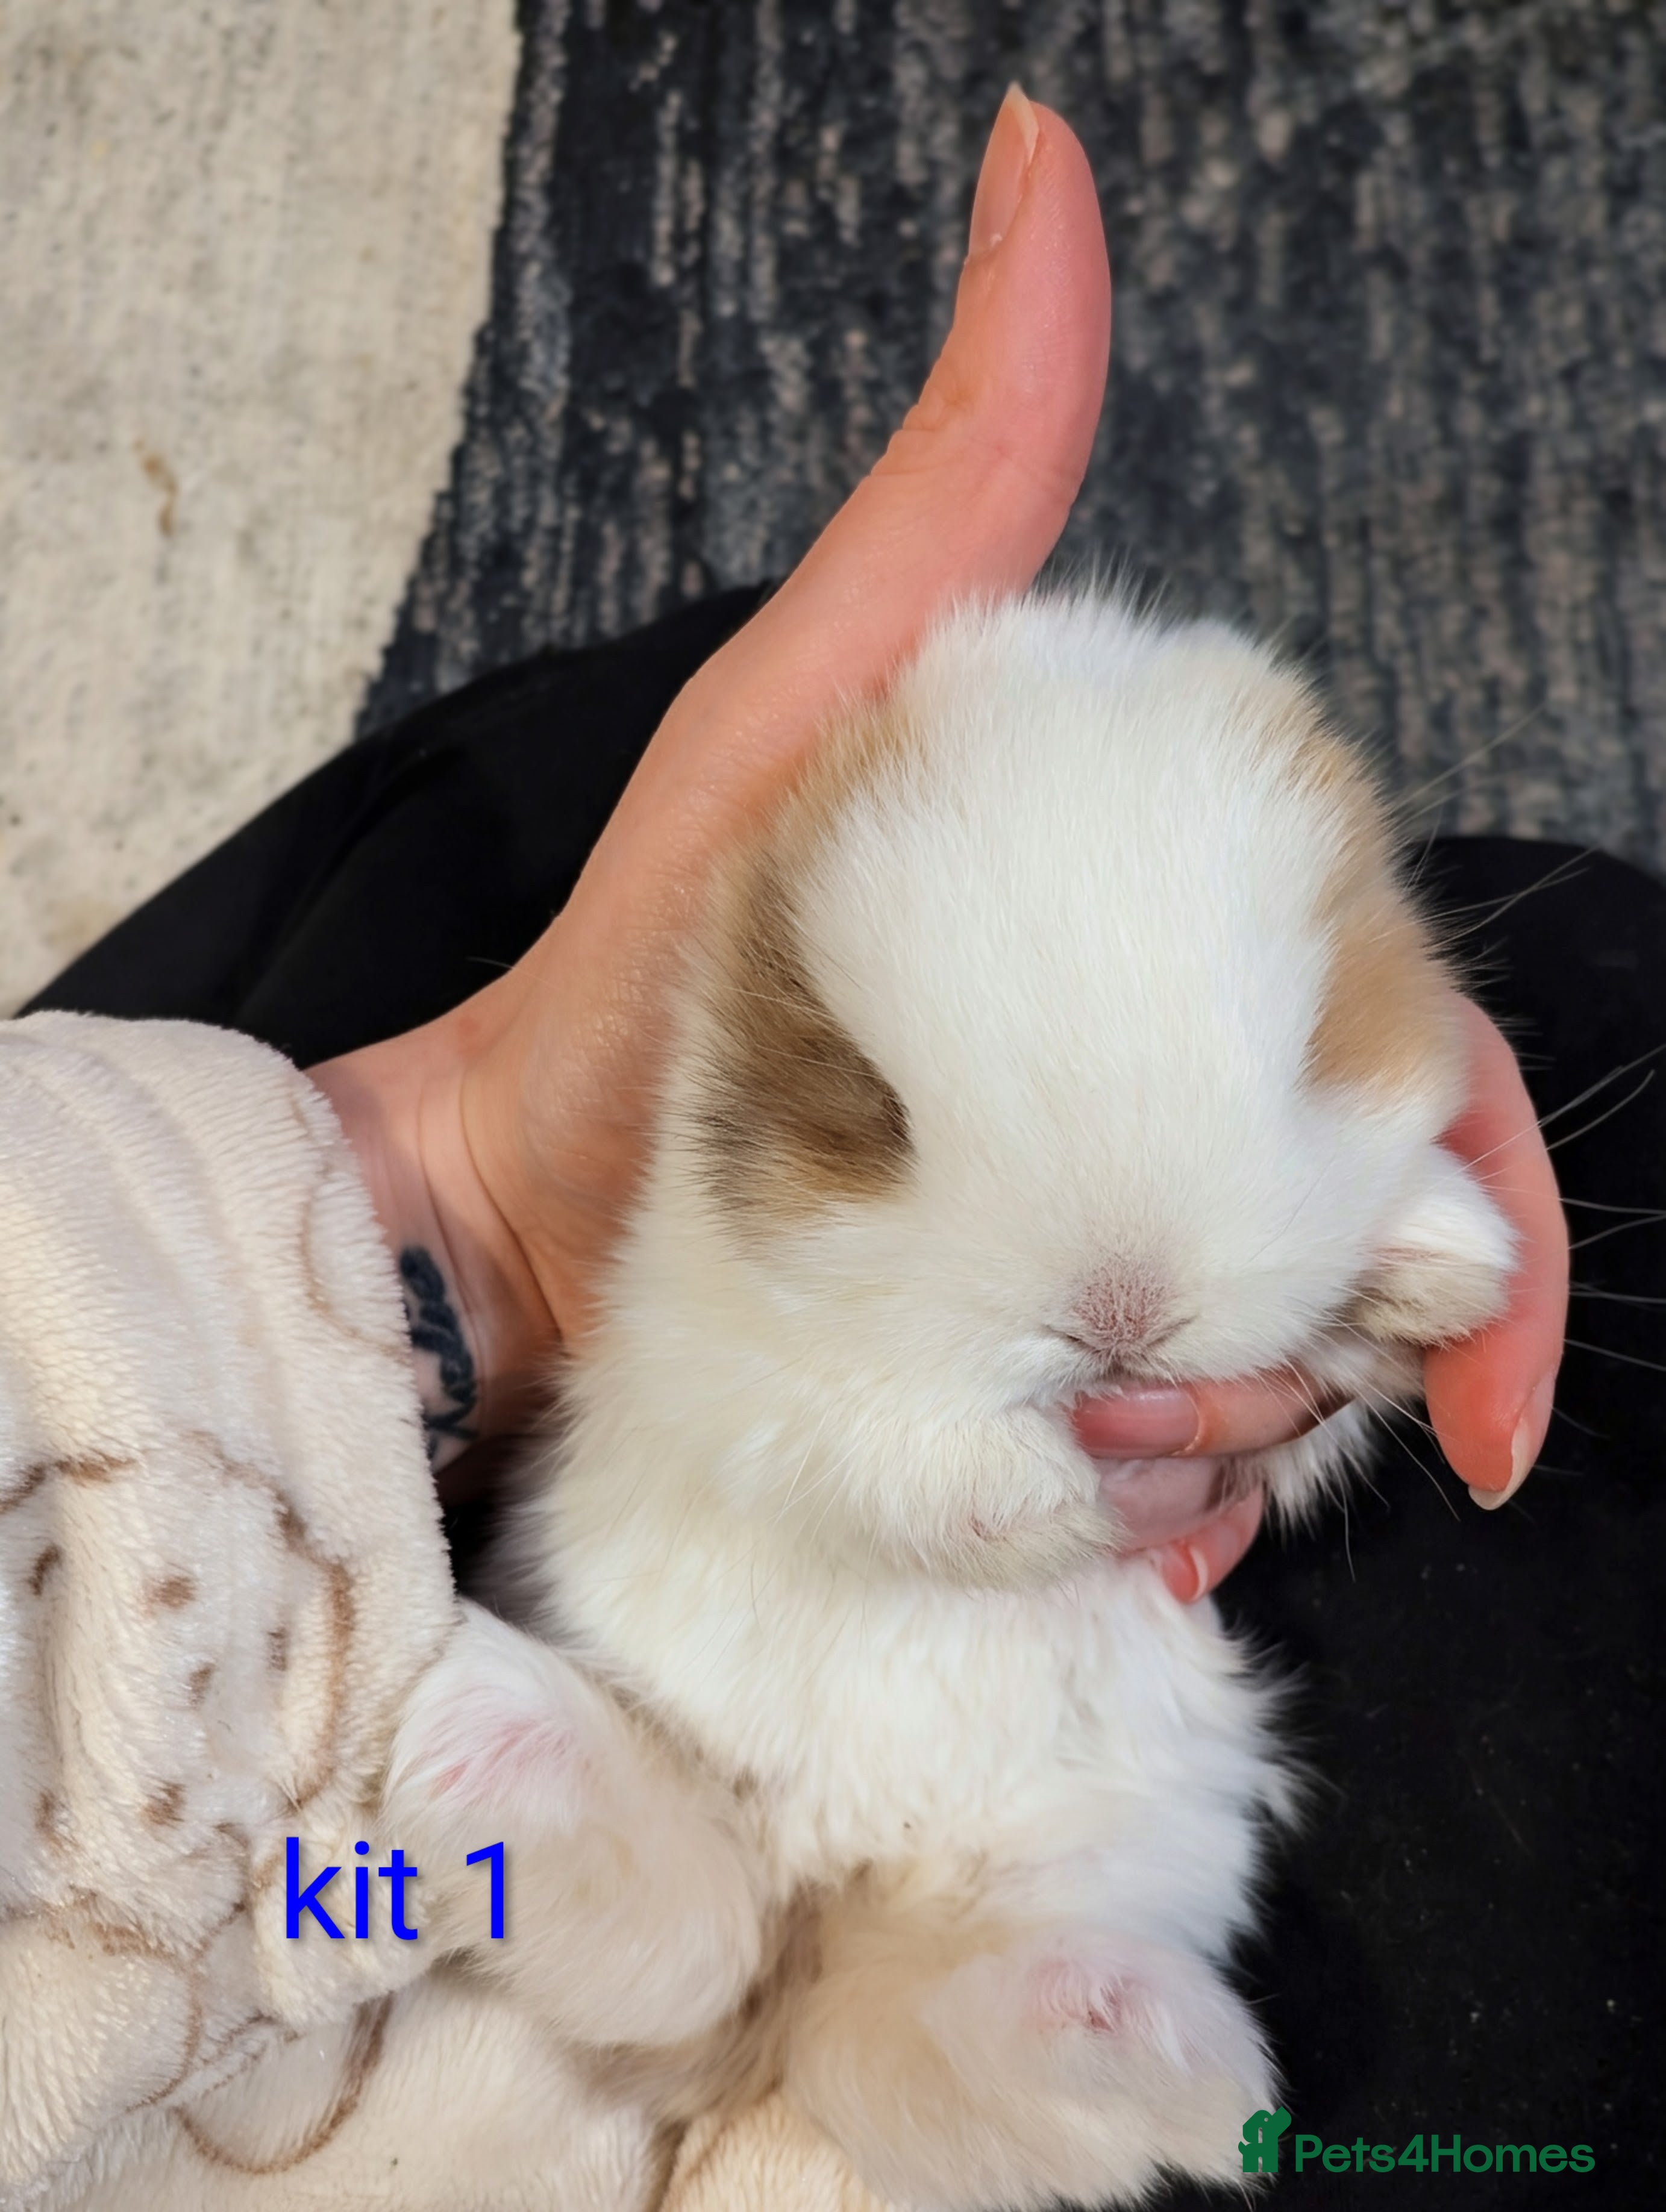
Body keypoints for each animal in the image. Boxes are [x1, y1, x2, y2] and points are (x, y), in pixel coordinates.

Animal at [387, 591, 1516, 2210]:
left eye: (1316, 1045)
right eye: (874, 1101)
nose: (1120, 1310)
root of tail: (846, 1881)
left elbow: (1340, 1382)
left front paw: (1440, 1266)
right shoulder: (739, 1378)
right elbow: (882, 1453)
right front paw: (1038, 1507)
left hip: (1088, 1854)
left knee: (889, 2045)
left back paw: (1136, 2042)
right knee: (697, 1945)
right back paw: (489, 1741)